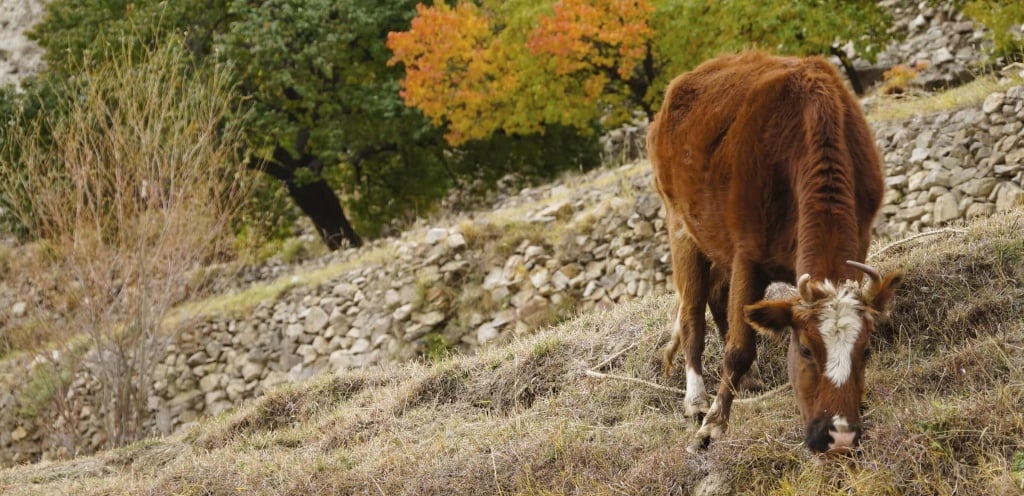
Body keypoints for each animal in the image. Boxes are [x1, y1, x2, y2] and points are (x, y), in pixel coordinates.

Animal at [647, 52, 905, 455]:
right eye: (806, 351)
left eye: (865, 351)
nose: (840, 436)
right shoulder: (747, 257)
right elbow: (739, 348)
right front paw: (712, 426)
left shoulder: (860, 241)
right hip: (681, 226)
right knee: (692, 314)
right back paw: (696, 399)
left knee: (718, 298)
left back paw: (749, 381)